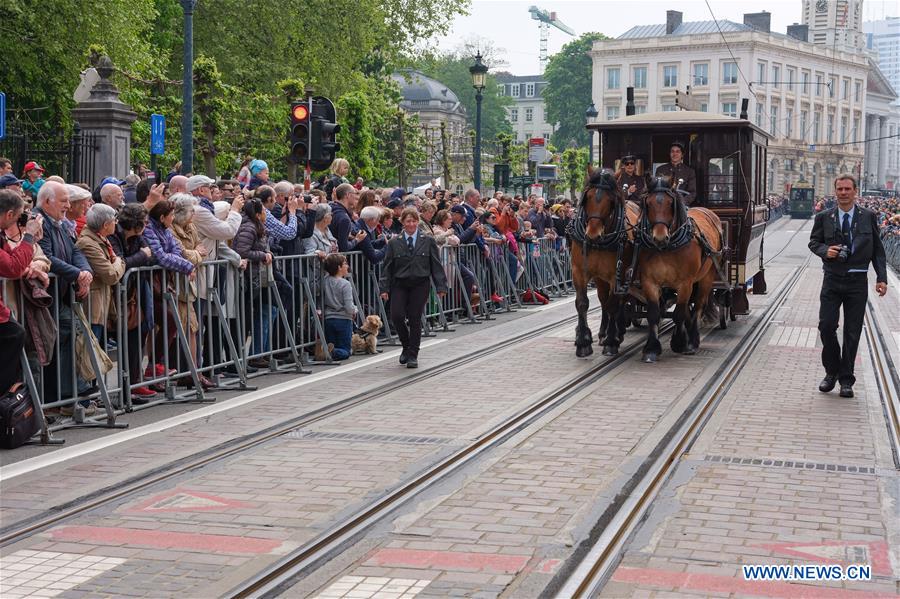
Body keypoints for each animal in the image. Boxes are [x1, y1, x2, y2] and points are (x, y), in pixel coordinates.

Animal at [568, 166, 640, 358]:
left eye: (611, 200)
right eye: (588, 197)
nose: (593, 233)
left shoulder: (617, 274)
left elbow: (612, 304)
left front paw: (611, 341)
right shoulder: (579, 271)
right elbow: (582, 303)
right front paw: (583, 342)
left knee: (615, 301)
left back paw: (615, 332)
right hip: (600, 278)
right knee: (602, 299)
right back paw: (602, 333)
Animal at [632, 178, 724, 364]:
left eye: (670, 203)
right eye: (648, 203)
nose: (660, 237)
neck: (667, 248)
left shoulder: (685, 283)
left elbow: (679, 313)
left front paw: (680, 343)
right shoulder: (649, 282)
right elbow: (654, 313)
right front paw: (651, 349)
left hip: (706, 277)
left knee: (698, 306)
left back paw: (693, 341)